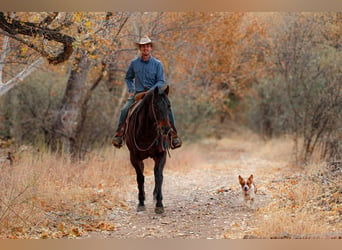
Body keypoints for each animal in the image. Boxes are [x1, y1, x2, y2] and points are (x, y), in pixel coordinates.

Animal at [125, 85, 171, 213]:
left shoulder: (161, 155)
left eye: (169, 106)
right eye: (155, 106)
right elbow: (140, 178)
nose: (166, 129)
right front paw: (141, 203)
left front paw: (159, 204)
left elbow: (158, 176)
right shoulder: (134, 157)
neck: (146, 133)